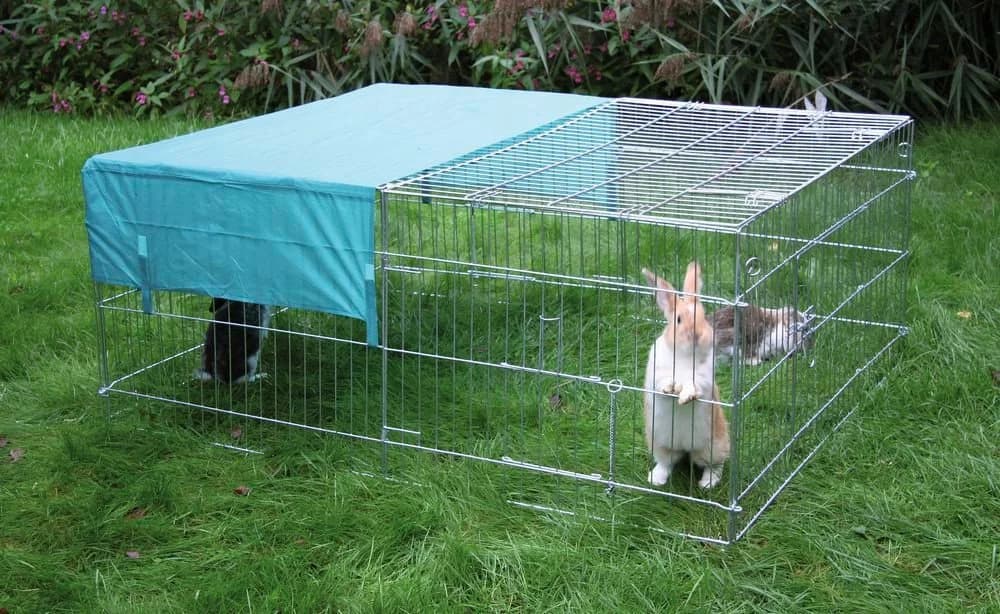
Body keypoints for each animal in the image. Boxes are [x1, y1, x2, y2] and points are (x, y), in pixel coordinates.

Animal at [642, 263, 730, 489]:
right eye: (679, 320)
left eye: (703, 316)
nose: (697, 335)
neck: (684, 355)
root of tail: (685, 448)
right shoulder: (656, 371)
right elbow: (661, 383)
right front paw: (670, 388)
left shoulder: (704, 378)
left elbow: (694, 385)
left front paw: (685, 396)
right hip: (658, 443)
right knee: (667, 463)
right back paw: (656, 479)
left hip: (713, 445)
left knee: (715, 465)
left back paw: (707, 483)